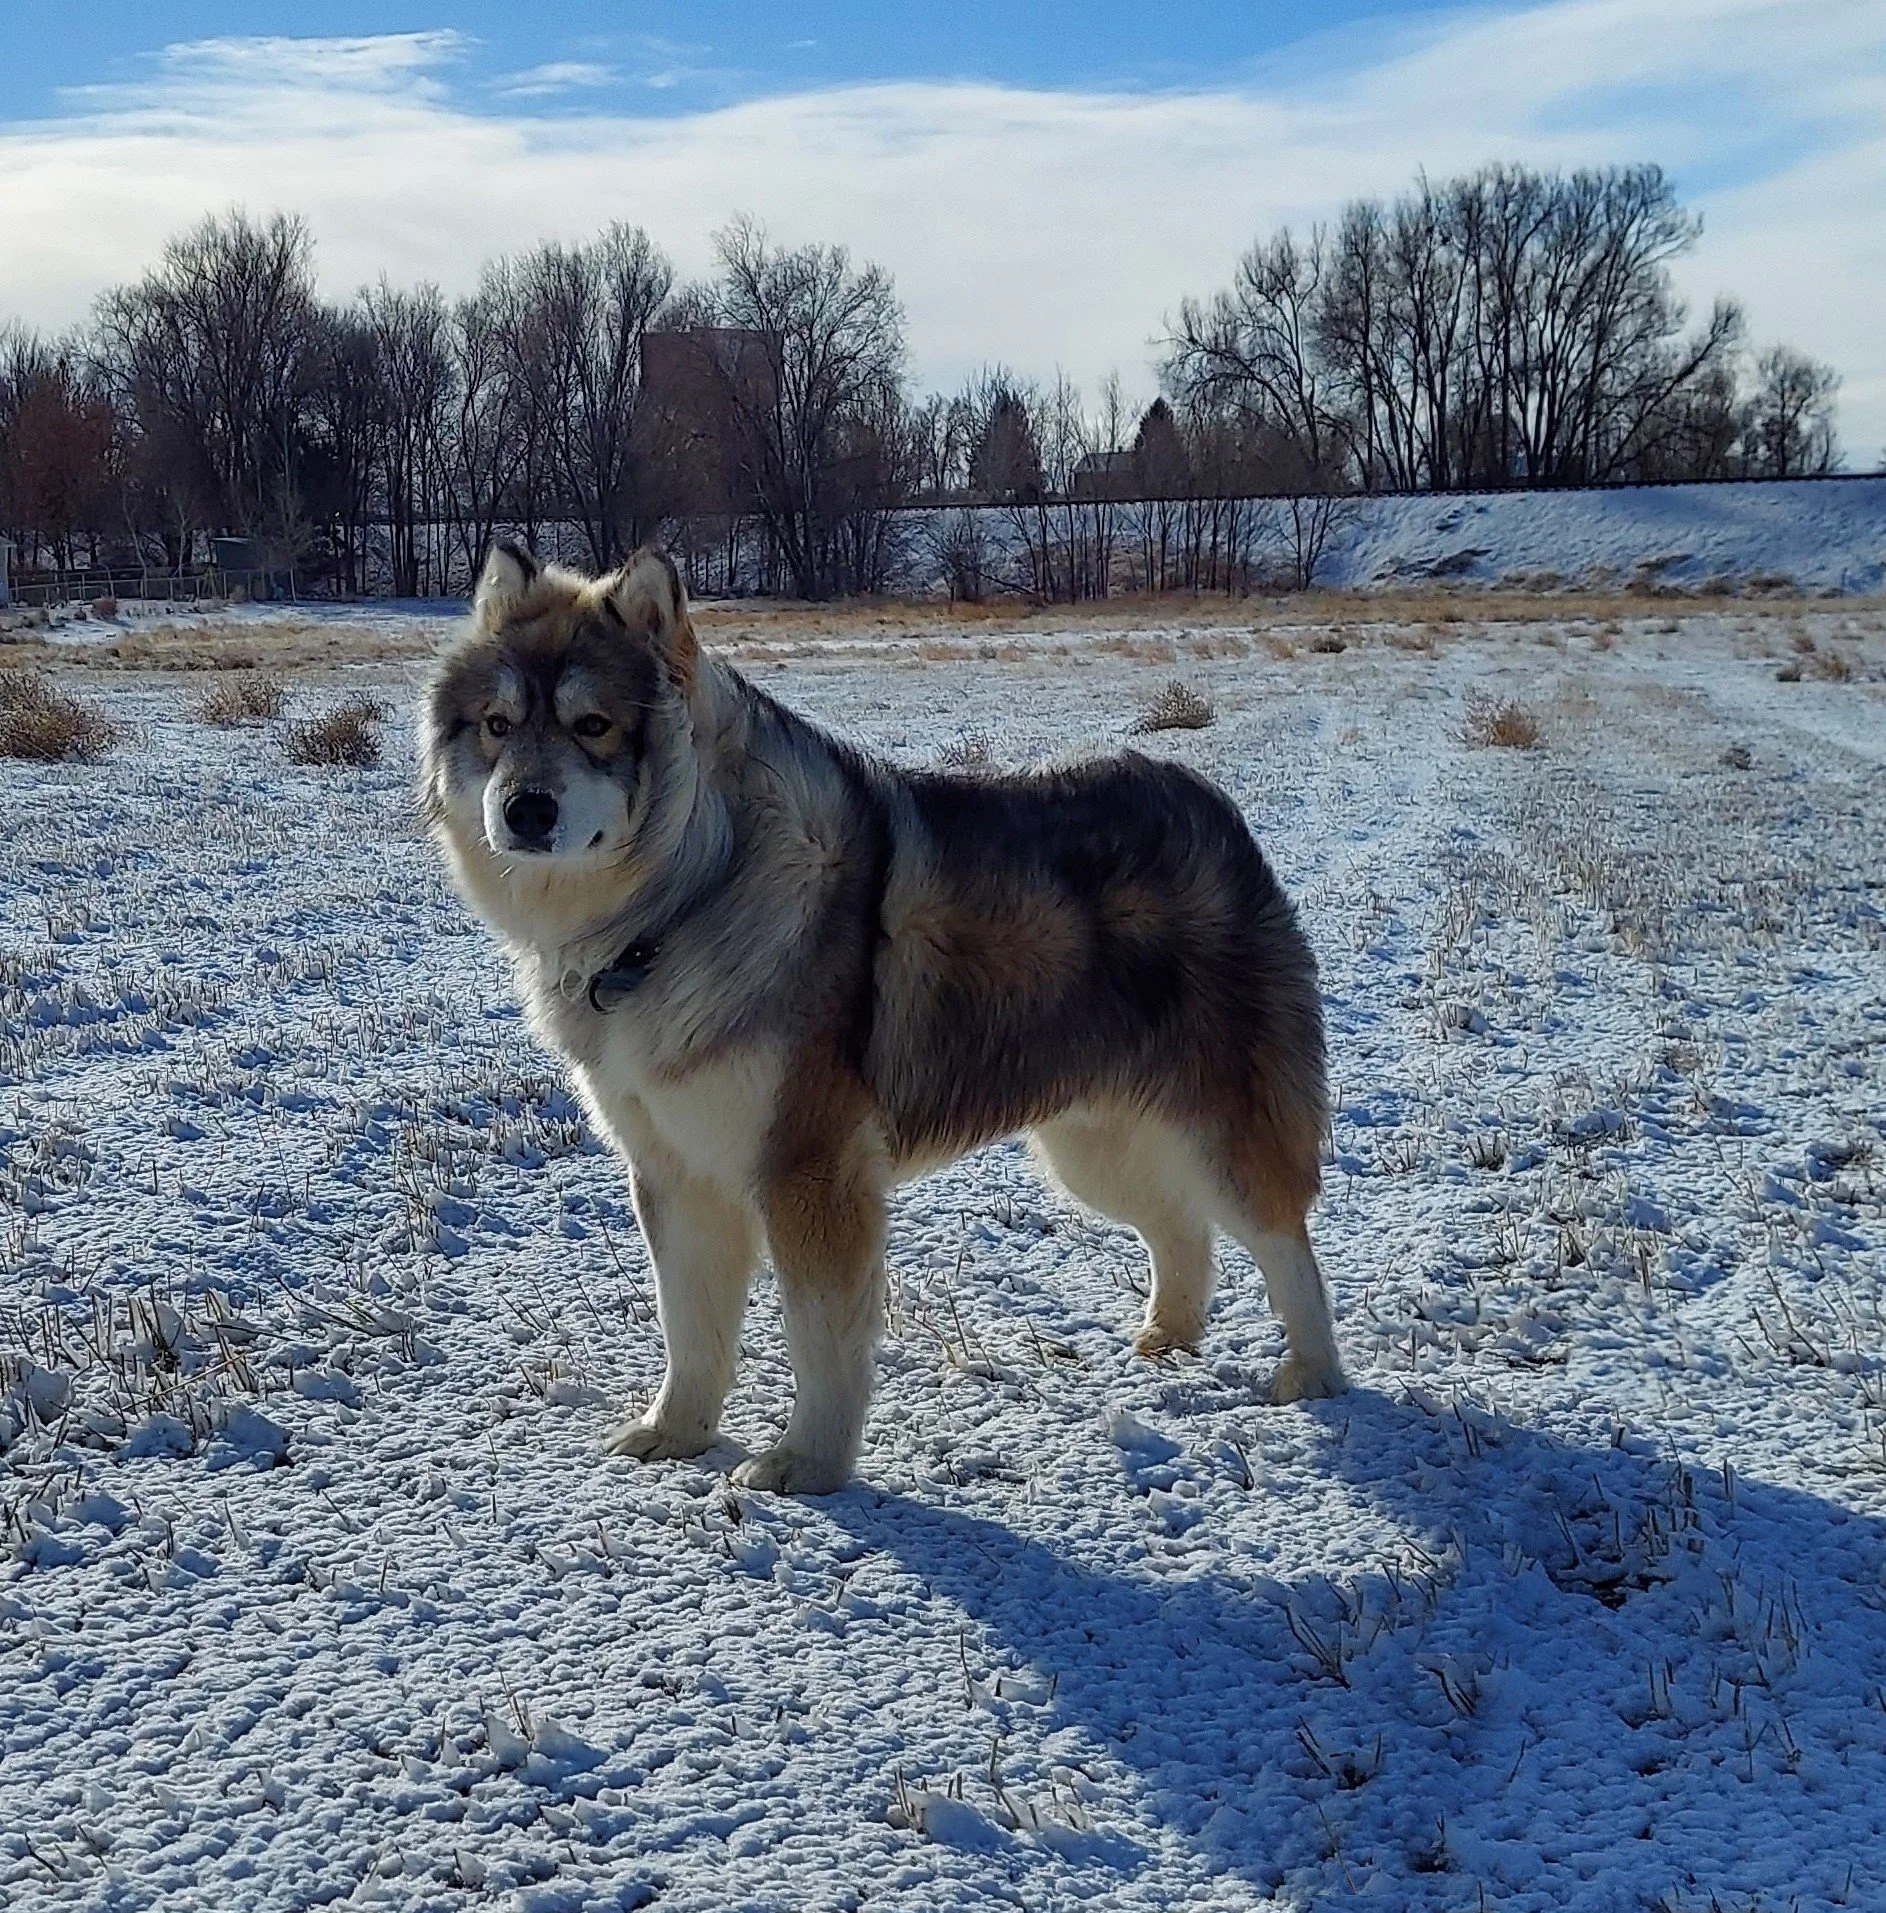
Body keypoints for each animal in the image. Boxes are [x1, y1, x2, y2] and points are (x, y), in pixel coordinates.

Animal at [419, 542, 1345, 1494]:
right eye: (497, 725)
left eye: (594, 724)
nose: (525, 810)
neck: (686, 894)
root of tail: (1210, 803)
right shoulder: (677, 1171)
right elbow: (691, 1328)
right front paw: (676, 1432)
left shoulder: (808, 1168)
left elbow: (819, 1339)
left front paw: (807, 1463)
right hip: (1094, 1142)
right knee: (1179, 1224)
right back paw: (1170, 1337)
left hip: (1217, 1124)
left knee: (1284, 1241)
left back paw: (1313, 1376)